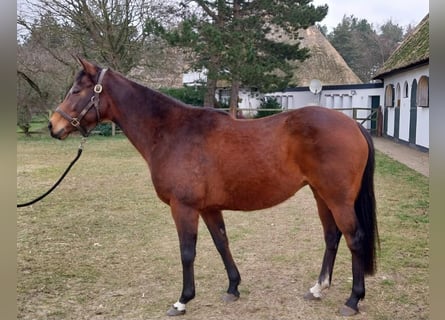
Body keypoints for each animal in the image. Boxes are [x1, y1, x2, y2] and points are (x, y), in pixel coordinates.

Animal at [49, 57, 378, 316]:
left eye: (76, 91)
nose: (54, 125)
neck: (172, 132)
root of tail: (354, 125)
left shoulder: (184, 208)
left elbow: (187, 252)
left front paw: (182, 301)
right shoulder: (208, 208)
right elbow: (222, 243)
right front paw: (233, 287)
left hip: (338, 199)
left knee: (355, 238)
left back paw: (353, 300)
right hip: (321, 195)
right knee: (332, 236)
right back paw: (318, 288)